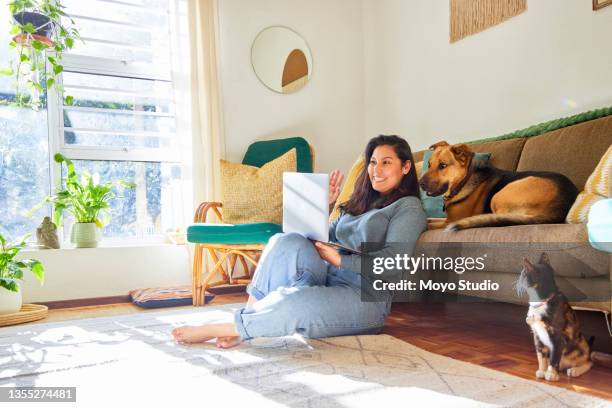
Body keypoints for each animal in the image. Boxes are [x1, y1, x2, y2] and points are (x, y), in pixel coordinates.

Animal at [420, 141, 580, 231]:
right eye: (428, 164)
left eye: (443, 165)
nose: (420, 183)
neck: (464, 181)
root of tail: (560, 208)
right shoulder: (445, 220)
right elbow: (429, 219)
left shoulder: (449, 221)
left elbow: (428, 224)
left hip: (499, 195)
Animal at [516, 252, 592, 382]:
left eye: (523, 273)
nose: (517, 280)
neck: (542, 302)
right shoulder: (537, 336)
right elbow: (541, 356)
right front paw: (542, 370)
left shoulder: (558, 338)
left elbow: (554, 357)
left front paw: (551, 374)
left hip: (580, 345)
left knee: (589, 361)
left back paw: (575, 370)